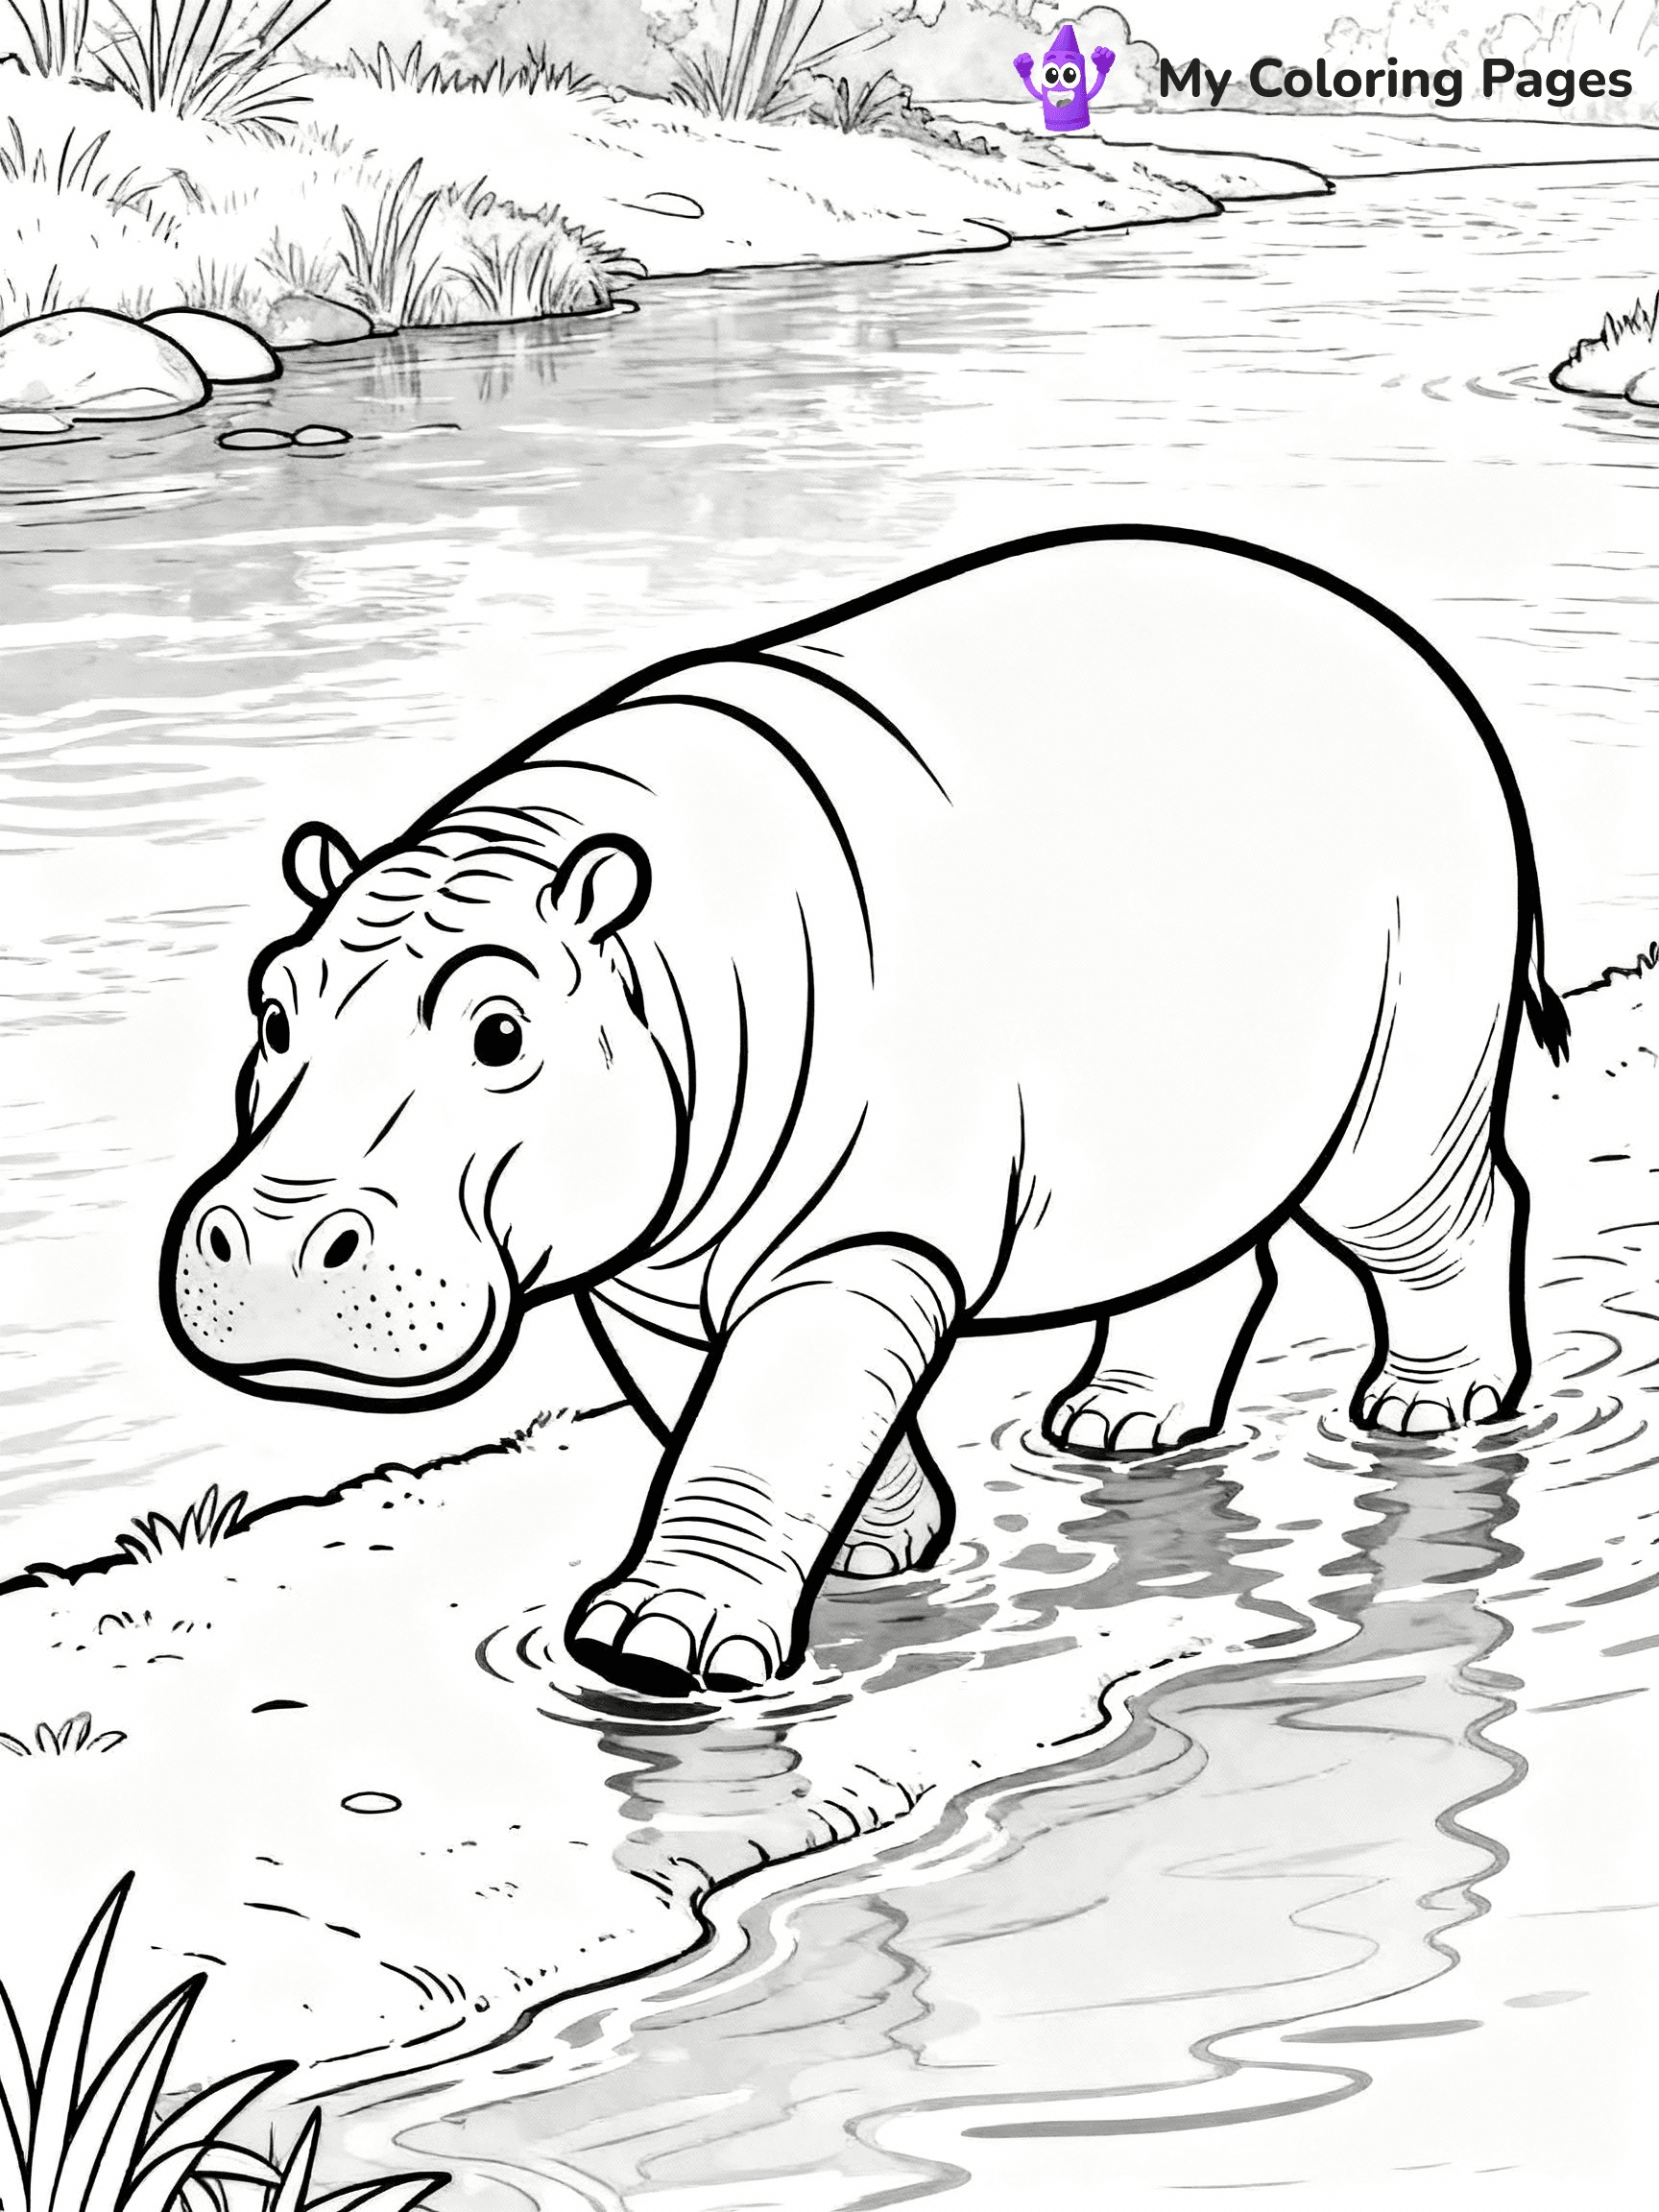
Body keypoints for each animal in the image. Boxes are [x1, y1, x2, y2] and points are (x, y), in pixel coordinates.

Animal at [162, 526, 1567, 1697]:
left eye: (498, 1030)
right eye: (273, 1003)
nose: (275, 1248)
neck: (649, 944)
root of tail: (1403, 645)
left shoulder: (858, 1242)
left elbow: (765, 1420)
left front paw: (653, 1652)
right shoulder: (658, 1275)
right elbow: (752, 1416)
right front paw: (874, 1556)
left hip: (1407, 1081)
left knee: (1448, 1218)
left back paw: (1429, 1414)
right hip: (1175, 1107)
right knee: (1201, 1259)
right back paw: (1113, 1430)